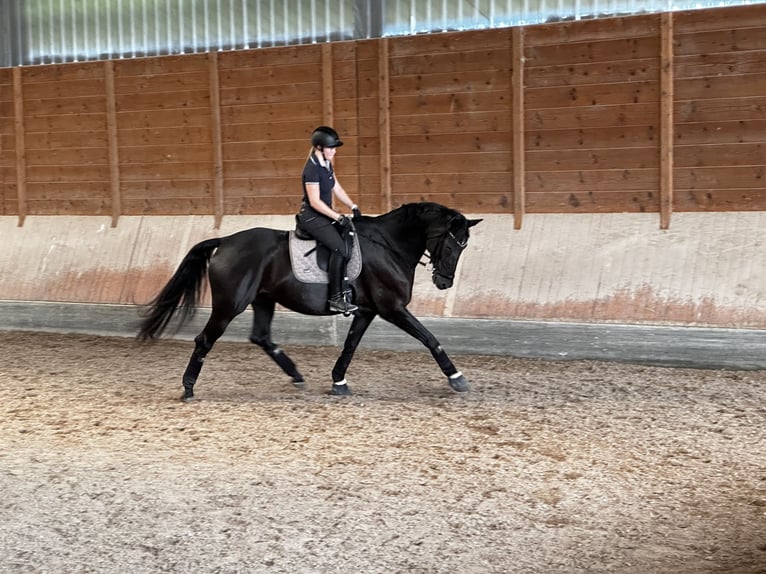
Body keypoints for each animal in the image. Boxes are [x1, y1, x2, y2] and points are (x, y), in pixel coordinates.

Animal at [137, 202, 482, 400]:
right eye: (452, 245)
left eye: (463, 246)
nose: (444, 282)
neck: (388, 245)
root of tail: (225, 241)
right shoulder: (392, 308)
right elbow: (429, 338)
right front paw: (457, 378)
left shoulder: (368, 311)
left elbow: (350, 346)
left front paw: (339, 382)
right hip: (229, 304)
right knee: (205, 339)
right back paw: (188, 388)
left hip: (263, 299)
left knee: (261, 337)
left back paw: (296, 376)